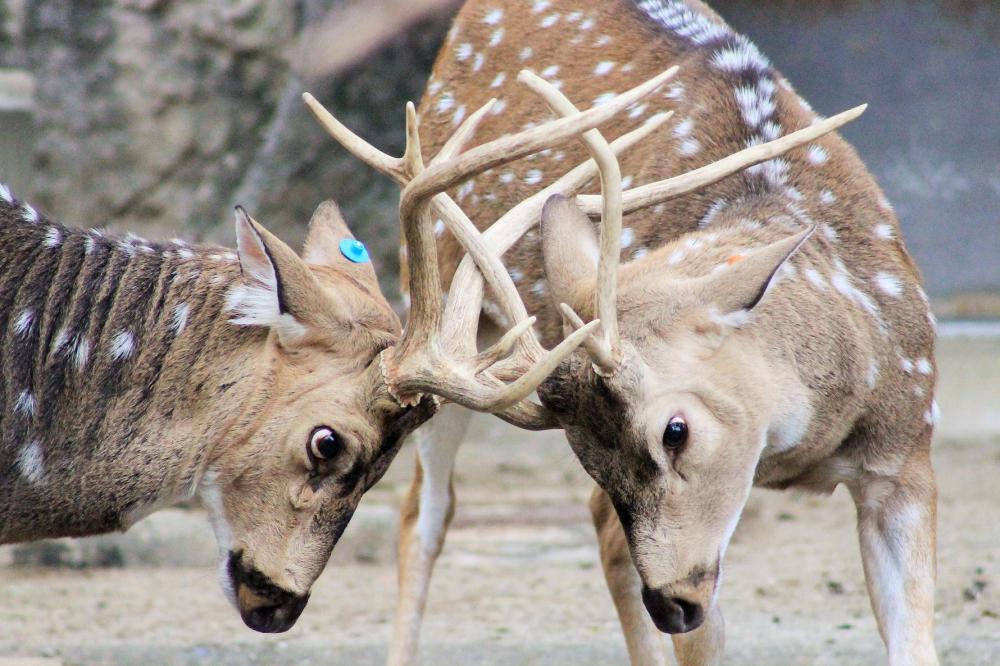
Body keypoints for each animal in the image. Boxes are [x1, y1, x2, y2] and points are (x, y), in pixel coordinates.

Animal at [304, 1, 936, 664]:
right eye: (587, 455)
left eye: (675, 431)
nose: (673, 605)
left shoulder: (908, 455)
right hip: (440, 314)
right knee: (424, 515)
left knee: (598, 532)